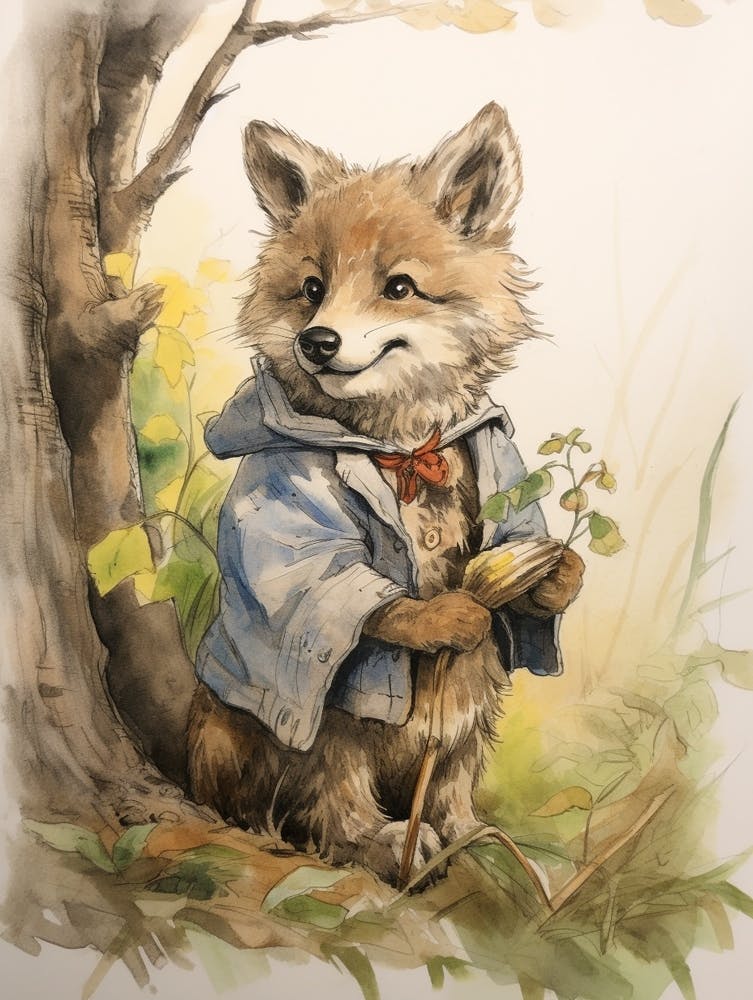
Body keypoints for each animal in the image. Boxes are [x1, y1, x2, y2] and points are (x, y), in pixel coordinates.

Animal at [187, 103, 584, 884]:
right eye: (312, 288)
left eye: (398, 287)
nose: (316, 341)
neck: (403, 451)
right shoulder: (291, 524)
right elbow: (360, 594)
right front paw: (445, 615)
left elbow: (527, 560)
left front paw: (557, 575)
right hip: (327, 725)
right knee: (323, 797)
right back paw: (377, 843)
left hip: (474, 699)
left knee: (453, 777)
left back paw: (464, 837)